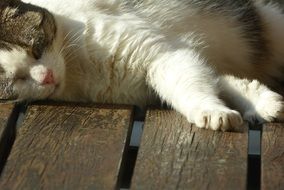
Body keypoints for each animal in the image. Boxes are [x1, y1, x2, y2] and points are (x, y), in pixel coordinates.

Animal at [0, 0, 284, 131]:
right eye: (16, 79)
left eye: (37, 49)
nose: (46, 77)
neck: (77, 73)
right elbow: (217, 79)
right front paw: (260, 102)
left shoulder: (162, 53)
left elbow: (192, 86)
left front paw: (213, 109)